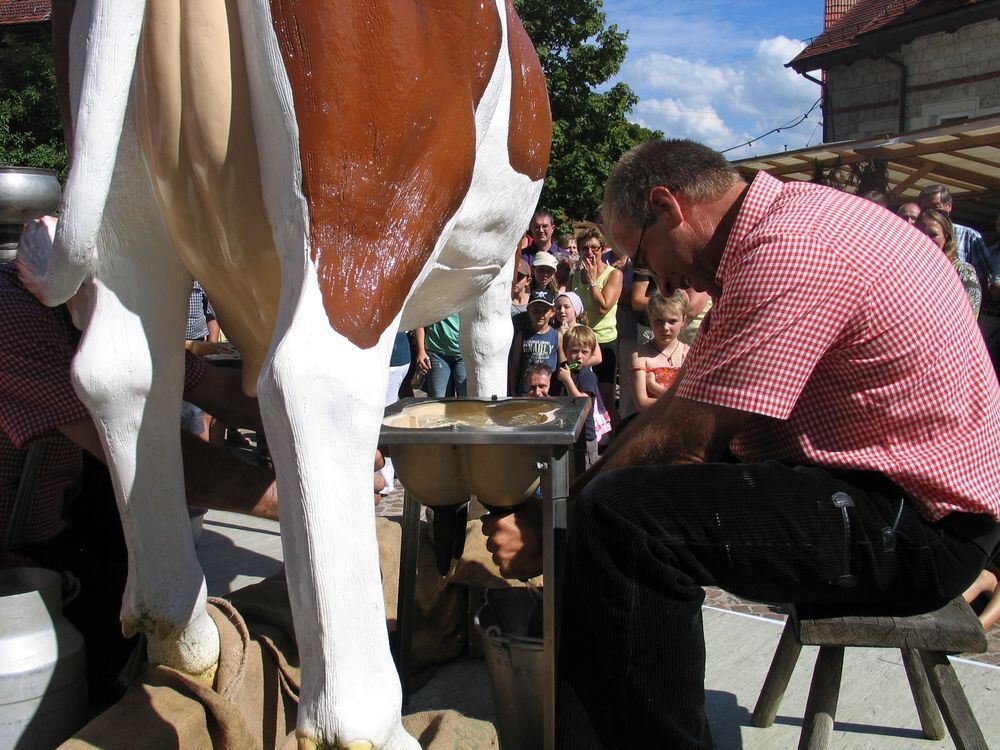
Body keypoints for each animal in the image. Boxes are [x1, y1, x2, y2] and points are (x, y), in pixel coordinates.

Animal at [17, 2, 548, 748]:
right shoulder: (497, 260)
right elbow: (489, 346)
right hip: (370, 193)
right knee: (315, 384)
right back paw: (364, 722)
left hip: (126, 200)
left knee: (121, 371)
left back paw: (187, 637)